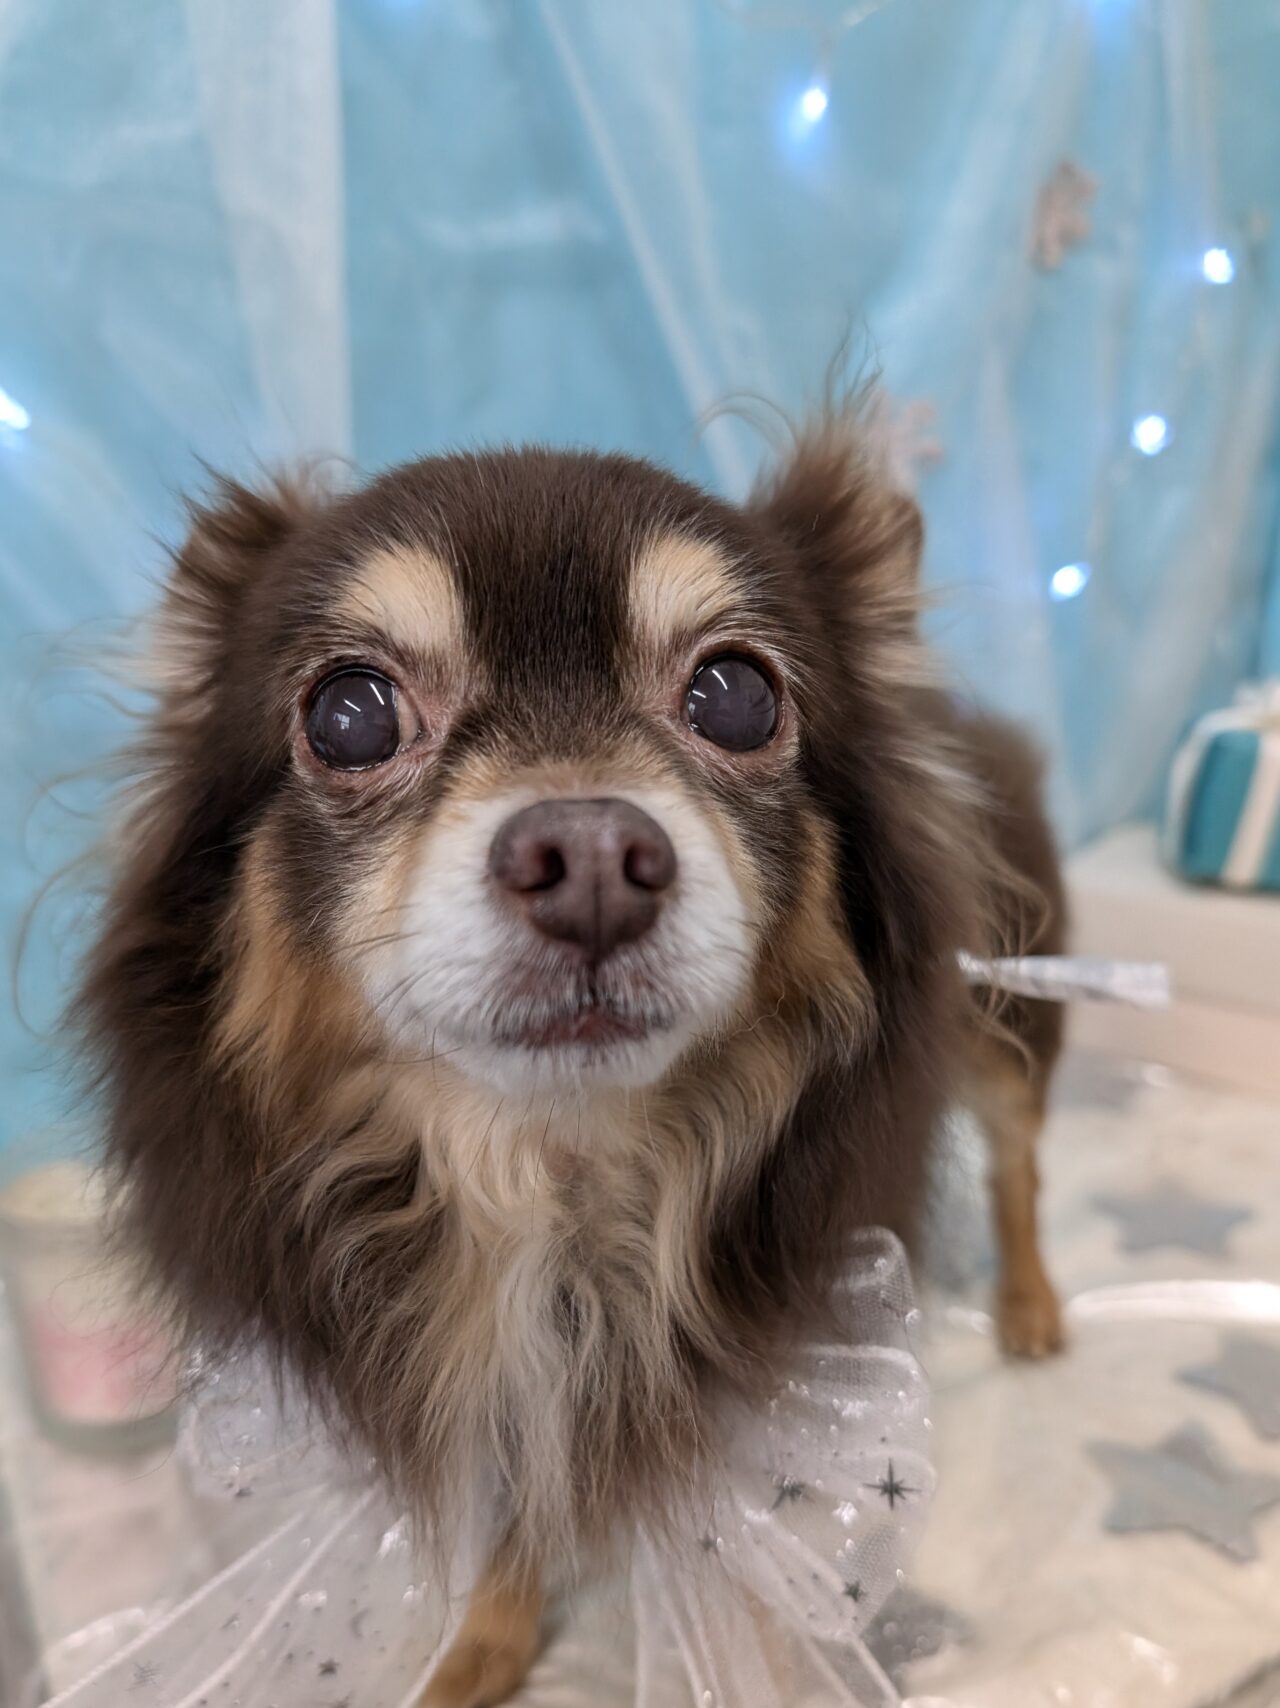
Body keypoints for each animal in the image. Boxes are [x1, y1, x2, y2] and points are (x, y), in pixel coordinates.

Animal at [77, 413, 1064, 1706]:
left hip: (1004, 1016)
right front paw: (485, 1642)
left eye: (735, 696)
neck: (558, 1176)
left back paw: (1030, 1303)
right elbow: (517, 1509)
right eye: (349, 716)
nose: (592, 854)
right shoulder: (503, 1370)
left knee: (1016, 1159)